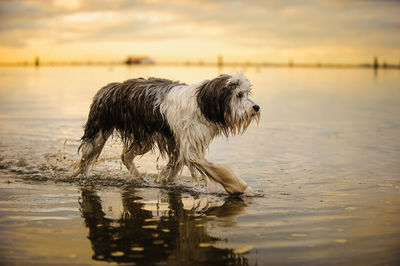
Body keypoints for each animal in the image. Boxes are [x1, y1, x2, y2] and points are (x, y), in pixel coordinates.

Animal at [76, 72, 260, 193]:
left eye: (246, 93)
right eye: (239, 94)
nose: (256, 107)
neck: (201, 104)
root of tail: (109, 87)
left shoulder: (178, 143)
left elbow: (175, 166)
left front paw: (164, 178)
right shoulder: (189, 147)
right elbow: (213, 169)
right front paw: (237, 186)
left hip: (144, 138)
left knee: (125, 156)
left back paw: (138, 175)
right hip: (98, 133)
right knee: (86, 158)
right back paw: (81, 175)